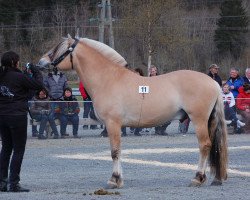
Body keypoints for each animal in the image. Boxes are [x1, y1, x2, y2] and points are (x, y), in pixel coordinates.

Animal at [38, 35, 228, 188]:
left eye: (57, 49)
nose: (40, 63)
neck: (108, 79)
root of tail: (213, 82)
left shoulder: (113, 124)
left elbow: (115, 151)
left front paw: (114, 180)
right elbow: (118, 151)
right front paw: (119, 179)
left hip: (199, 119)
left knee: (205, 145)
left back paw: (197, 178)